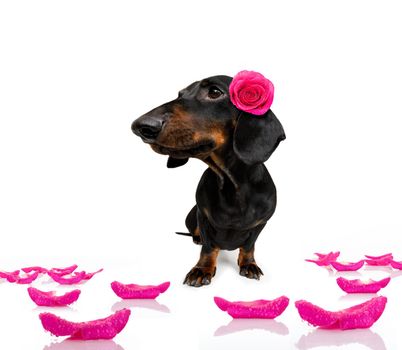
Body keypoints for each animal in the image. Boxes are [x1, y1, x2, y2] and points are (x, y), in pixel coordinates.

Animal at [130, 74, 284, 288]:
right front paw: (202, 269)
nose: (141, 126)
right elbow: (209, 247)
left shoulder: (261, 223)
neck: (232, 187)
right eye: (180, 94)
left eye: (214, 92)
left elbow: (248, 245)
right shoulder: (203, 217)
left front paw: (249, 264)